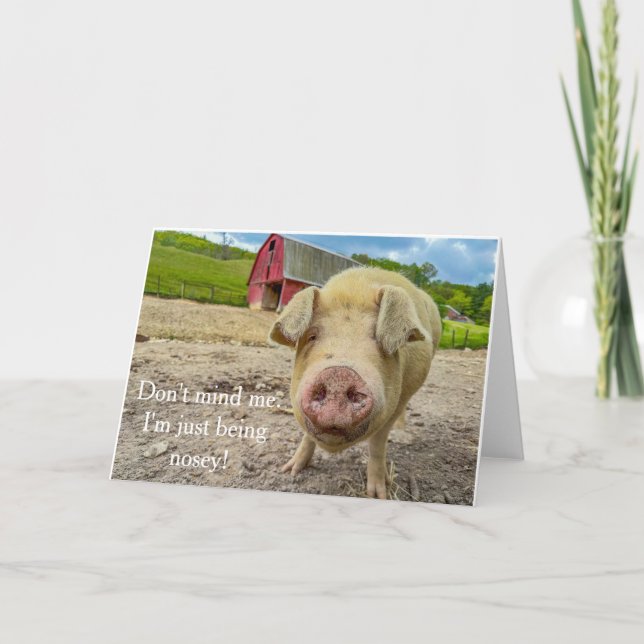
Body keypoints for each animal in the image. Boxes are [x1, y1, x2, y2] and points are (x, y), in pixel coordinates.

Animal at [268, 266, 442, 499]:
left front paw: (378, 494)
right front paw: (290, 470)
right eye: (312, 336)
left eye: (377, 339)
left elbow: (378, 444)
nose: (338, 376)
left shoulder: (397, 401)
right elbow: (307, 436)